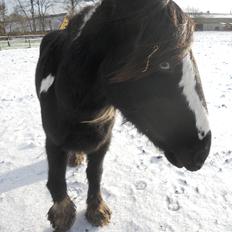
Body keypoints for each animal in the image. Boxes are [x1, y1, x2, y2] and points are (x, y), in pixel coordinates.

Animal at [35, 0, 211, 231]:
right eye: (163, 62)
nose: (202, 152)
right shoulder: (53, 141)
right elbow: (56, 177)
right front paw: (62, 216)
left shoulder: (103, 142)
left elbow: (95, 174)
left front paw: (96, 210)